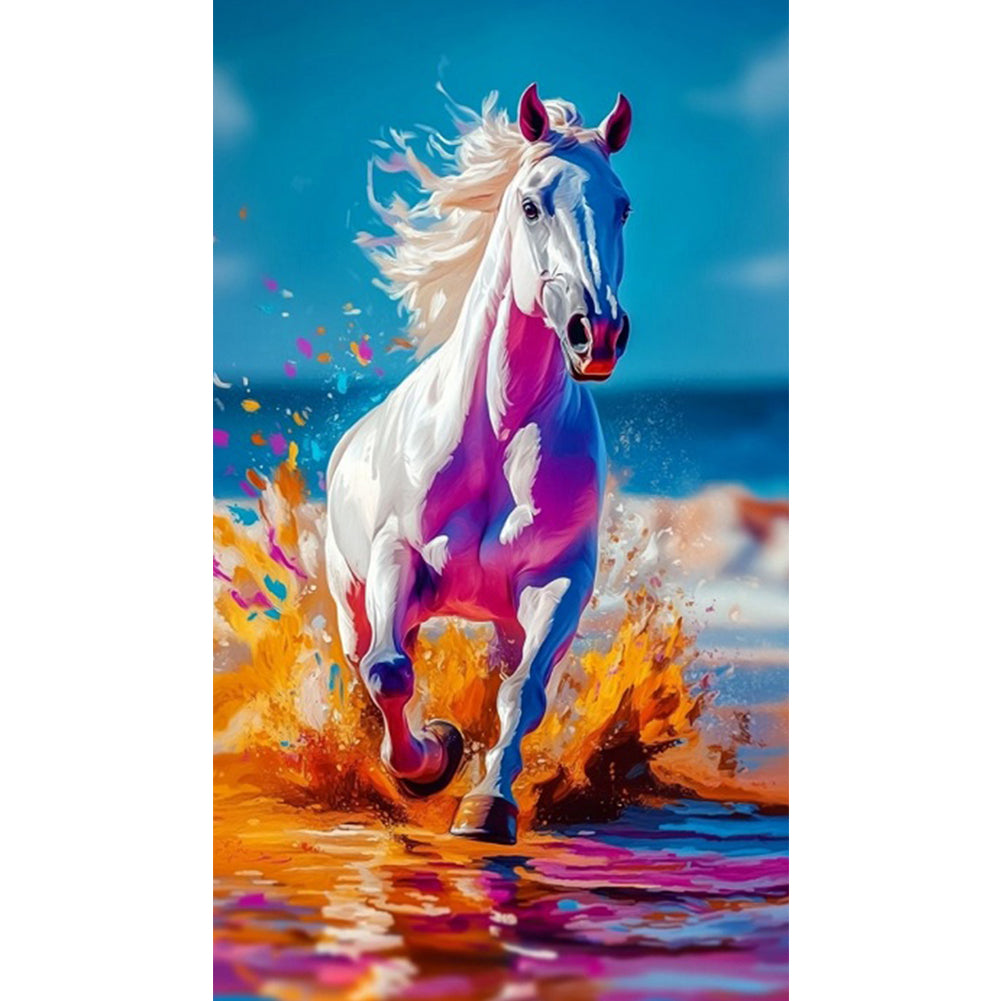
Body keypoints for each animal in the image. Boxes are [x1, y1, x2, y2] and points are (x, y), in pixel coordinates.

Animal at [325, 84, 633, 844]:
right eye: (531, 205)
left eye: (621, 205)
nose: (597, 332)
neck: (497, 428)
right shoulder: (397, 556)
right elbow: (388, 673)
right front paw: (430, 760)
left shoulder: (556, 580)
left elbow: (523, 693)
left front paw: (487, 804)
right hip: (351, 596)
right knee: (368, 659)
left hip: (501, 617)